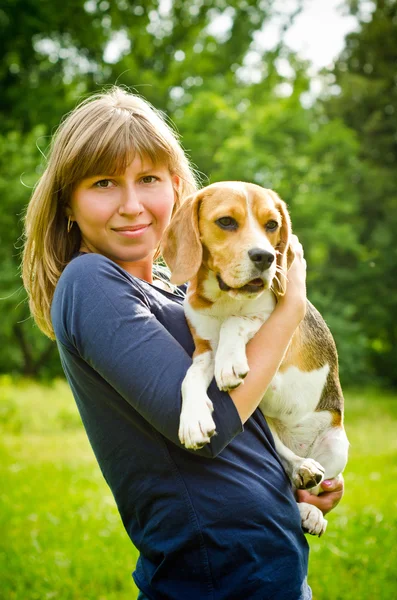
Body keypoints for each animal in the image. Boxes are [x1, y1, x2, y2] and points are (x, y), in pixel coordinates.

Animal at [159, 180, 348, 536]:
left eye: (272, 225)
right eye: (226, 222)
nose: (266, 257)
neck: (224, 299)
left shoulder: (276, 326)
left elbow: (238, 321)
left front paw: (231, 362)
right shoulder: (203, 350)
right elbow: (191, 376)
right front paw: (193, 419)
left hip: (337, 444)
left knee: (314, 487)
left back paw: (310, 506)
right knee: (284, 461)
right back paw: (300, 471)